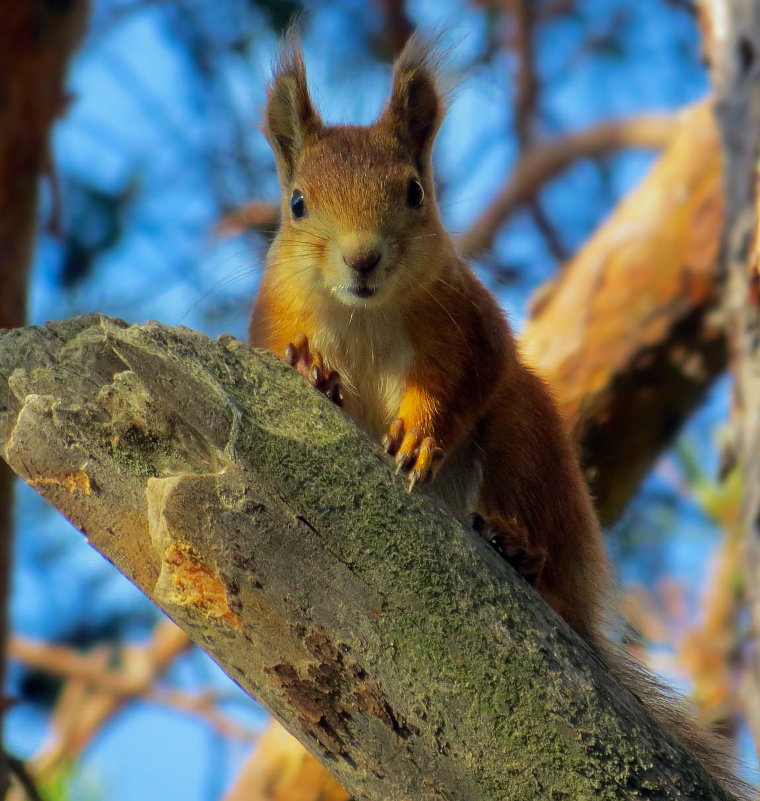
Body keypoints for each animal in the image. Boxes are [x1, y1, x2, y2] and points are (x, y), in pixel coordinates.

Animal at [251, 32, 748, 792]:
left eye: (415, 192)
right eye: (299, 203)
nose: (362, 260)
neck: (363, 315)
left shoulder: (472, 326)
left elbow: (466, 385)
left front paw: (420, 438)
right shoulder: (276, 316)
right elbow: (285, 353)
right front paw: (310, 370)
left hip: (528, 447)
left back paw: (516, 546)